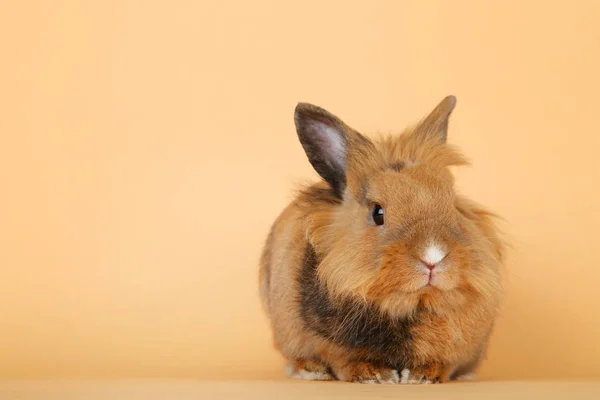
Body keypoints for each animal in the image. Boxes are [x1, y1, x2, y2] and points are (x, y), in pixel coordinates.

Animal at [258, 94, 506, 384]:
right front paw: (375, 375)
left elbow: (444, 364)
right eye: (378, 213)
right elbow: (343, 359)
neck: (409, 305)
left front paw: (421, 376)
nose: (432, 256)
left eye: (452, 204)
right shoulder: (325, 344)